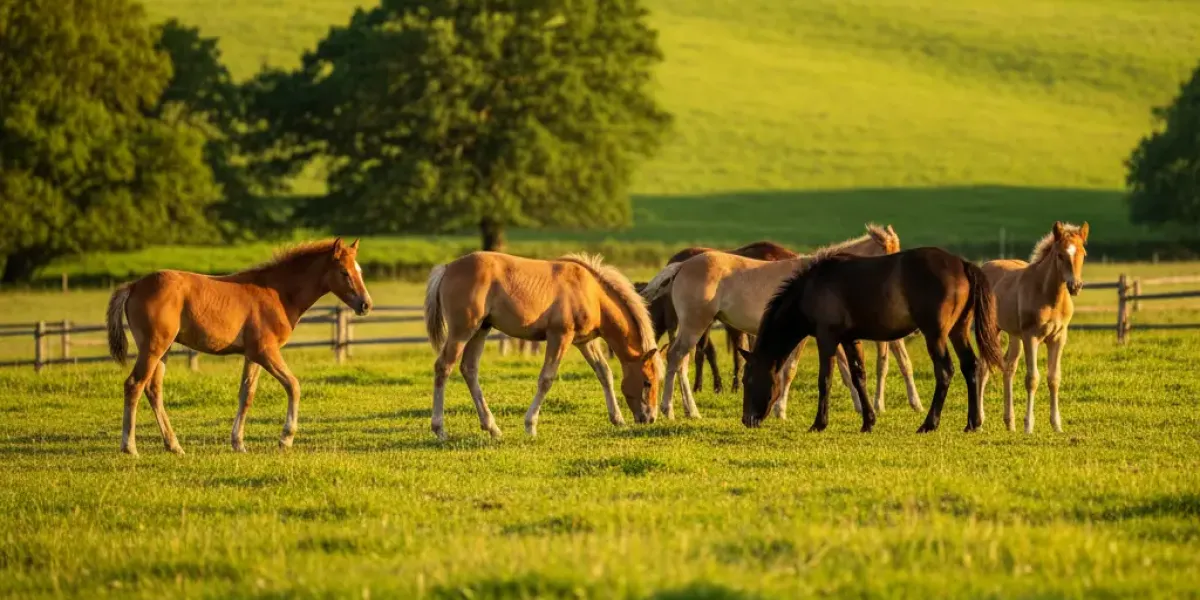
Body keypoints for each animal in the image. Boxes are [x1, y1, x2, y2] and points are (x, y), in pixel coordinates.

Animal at [105, 238, 373, 456]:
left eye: (359, 271)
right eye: (344, 272)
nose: (366, 305)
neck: (277, 293)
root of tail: (133, 286)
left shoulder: (252, 355)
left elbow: (247, 394)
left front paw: (238, 443)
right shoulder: (265, 351)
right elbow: (293, 385)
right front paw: (285, 439)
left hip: (164, 350)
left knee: (153, 390)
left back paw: (174, 446)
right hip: (153, 347)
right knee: (134, 385)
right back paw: (130, 447)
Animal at [423, 252, 662, 439]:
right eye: (647, 382)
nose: (650, 418)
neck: (591, 293)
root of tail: (447, 268)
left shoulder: (584, 342)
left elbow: (604, 373)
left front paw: (618, 419)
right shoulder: (560, 336)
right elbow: (546, 379)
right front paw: (530, 425)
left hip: (481, 329)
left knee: (469, 369)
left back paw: (492, 428)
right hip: (462, 331)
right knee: (443, 367)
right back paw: (439, 429)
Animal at [640, 224, 921, 420]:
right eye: (890, 258)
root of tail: (682, 265)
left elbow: (840, 368)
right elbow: (790, 370)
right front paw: (780, 410)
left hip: (693, 328)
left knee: (682, 362)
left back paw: (690, 411)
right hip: (694, 326)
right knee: (676, 358)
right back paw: (669, 410)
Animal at [739, 246, 1003, 433]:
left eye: (747, 380)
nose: (746, 419)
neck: (812, 288)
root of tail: (962, 264)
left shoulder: (827, 338)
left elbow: (825, 380)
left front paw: (819, 423)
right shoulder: (850, 339)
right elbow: (859, 377)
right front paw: (868, 421)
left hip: (935, 334)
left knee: (945, 371)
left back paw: (929, 423)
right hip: (959, 331)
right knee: (970, 367)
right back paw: (972, 423)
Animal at [977, 221, 1089, 433]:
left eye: (1083, 253)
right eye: (1060, 255)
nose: (1075, 286)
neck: (1048, 296)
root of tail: (985, 266)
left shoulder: (1058, 338)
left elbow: (1054, 378)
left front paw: (1057, 425)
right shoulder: (1031, 337)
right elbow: (1032, 379)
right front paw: (1029, 426)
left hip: (1014, 336)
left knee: (1008, 367)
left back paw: (1010, 422)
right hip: (990, 330)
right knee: (983, 368)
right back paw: (978, 422)